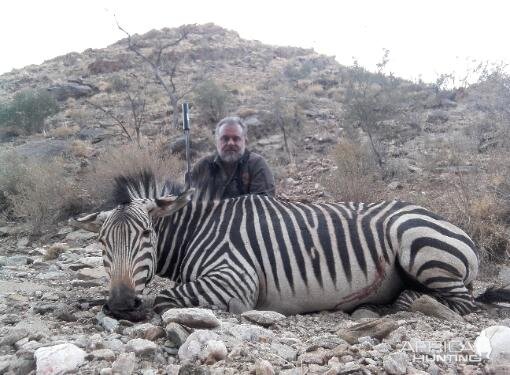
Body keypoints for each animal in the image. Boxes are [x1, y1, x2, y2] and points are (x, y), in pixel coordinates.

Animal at [75, 172, 510, 322]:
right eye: (102, 243)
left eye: (147, 235)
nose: (120, 303)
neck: (196, 232)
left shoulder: (236, 279)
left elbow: (165, 298)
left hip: (416, 245)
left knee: (463, 303)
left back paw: (407, 301)